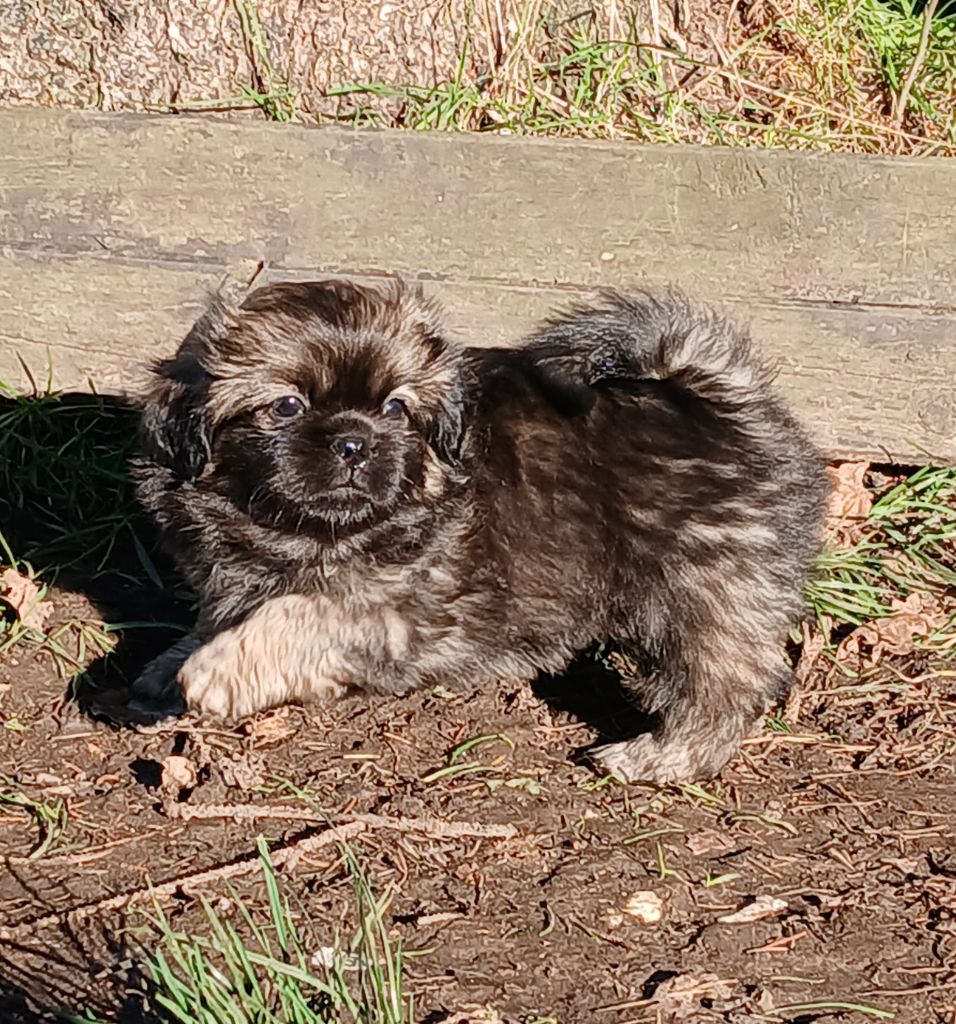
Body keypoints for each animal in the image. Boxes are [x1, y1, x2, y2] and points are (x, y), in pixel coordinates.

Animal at [131, 280, 835, 782]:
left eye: (397, 408)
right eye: (286, 406)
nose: (356, 442)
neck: (296, 529)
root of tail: (727, 402)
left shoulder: (394, 608)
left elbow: (298, 615)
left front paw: (216, 669)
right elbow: (223, 614)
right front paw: (168, 664)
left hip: (703, 593)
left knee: (725, 684)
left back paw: (660, 757)